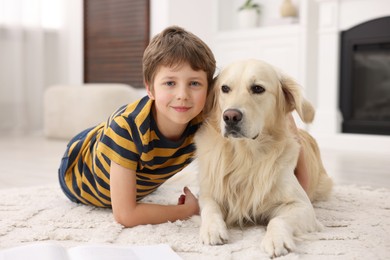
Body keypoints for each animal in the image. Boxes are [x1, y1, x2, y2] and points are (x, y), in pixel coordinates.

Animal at [195, 59, 332, 258]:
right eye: (225, 88)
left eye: (258, 88)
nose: (230, 116)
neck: (245, 155)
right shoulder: (208, 192)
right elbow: (210, 208)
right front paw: (212, 229)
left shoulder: (302, 206)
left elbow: (278, 220)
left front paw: (276, 240)